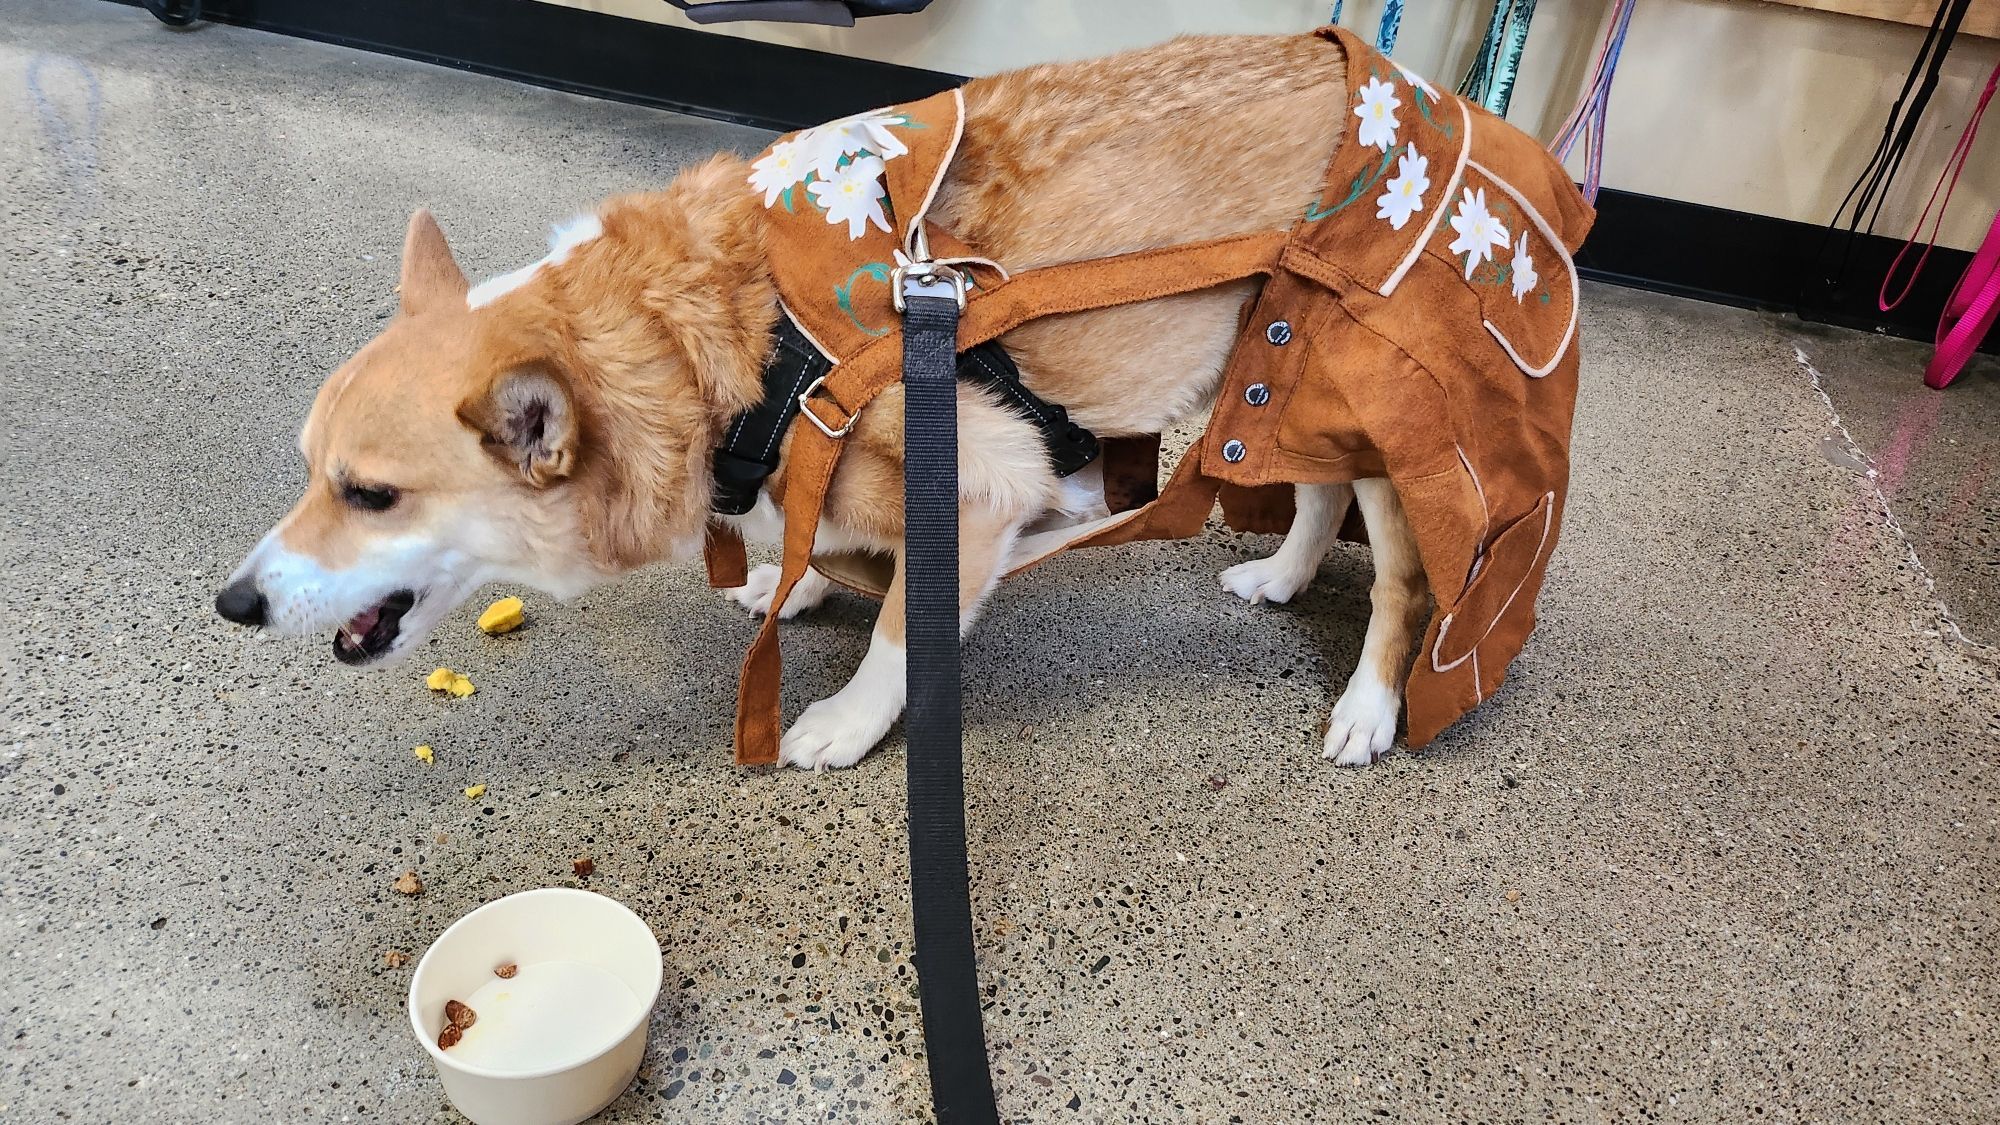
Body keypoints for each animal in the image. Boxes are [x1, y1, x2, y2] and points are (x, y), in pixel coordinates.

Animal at [215, 35, 1424, 768]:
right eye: (308, 470)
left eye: (371, 495)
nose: (233, 606)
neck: (720, 348)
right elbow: (805, 543)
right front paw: (788, 585)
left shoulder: (981, 495)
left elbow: (897, 637)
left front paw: (845, 722)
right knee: (1317, 496)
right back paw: (1281, 577)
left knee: (1398, 584)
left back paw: (1367, 708)